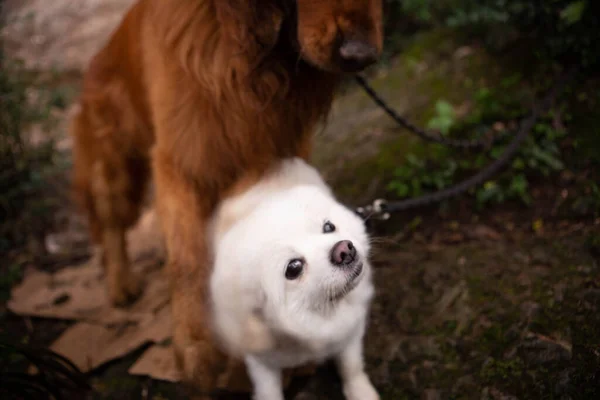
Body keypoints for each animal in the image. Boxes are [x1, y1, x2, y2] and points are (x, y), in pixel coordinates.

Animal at [210, 158, 380, 400]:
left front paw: (360, 391)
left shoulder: (350, 331)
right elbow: (268, 392)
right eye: (293, 268)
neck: (323, 314)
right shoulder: (261, 360)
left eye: (329, 227)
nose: (344, 249)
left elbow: (351, 366)